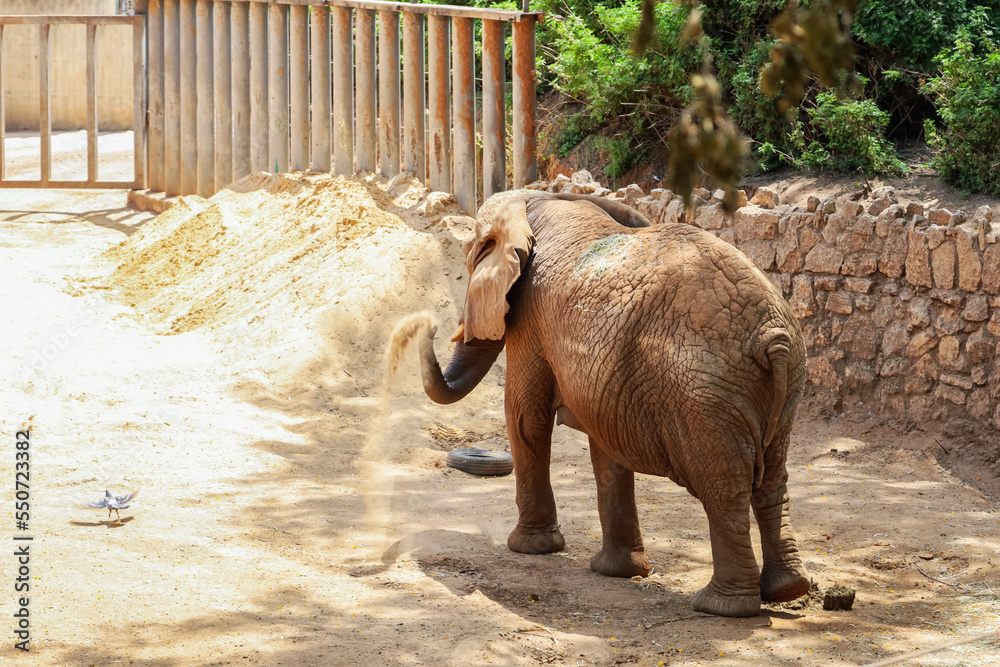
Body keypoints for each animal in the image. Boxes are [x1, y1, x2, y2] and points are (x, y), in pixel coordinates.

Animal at [400, 189, 812, 616]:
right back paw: (787, 590)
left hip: (703, 392)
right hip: (784, 382)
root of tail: (772, 336)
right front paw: (617, 572)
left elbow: (526, 416)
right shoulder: (607, 375)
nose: (427, 326)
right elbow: (605, 445)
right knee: (772, 478)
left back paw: (720, 606)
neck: (537, 201)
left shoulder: (531, 317)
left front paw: (530, 549)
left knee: (723, 486)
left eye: (468, 256)